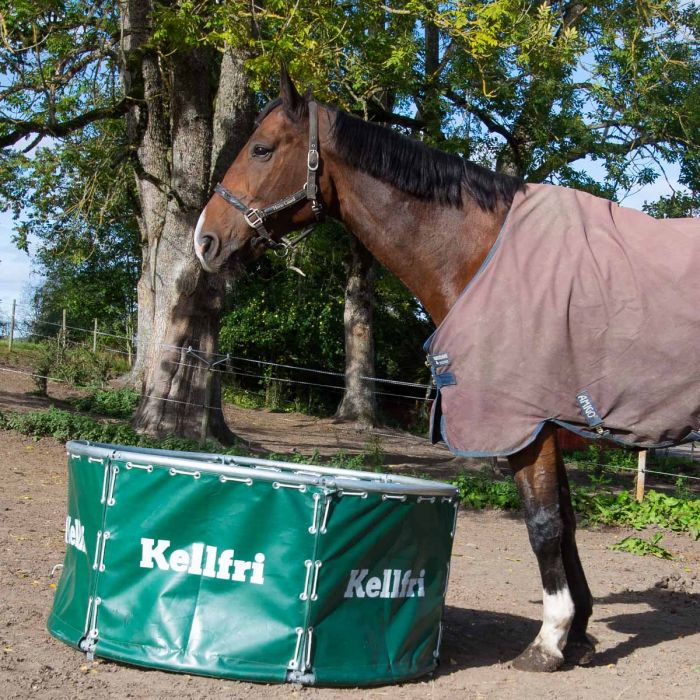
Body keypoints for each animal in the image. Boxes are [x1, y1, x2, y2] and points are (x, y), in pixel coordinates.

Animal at [193, 71, 596, 672]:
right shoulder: (547, 429)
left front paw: (550, 641)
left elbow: (544, 525)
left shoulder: (531, 429)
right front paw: (581, 633)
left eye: (261, 149)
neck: (492, 263)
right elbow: (565, 525)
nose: (204, 239)